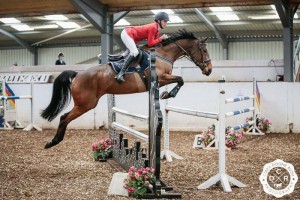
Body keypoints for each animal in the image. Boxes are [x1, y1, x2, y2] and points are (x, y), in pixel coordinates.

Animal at [41, 29, 212, 148]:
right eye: (204, 50)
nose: (209, 70)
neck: (163, 54)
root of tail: (77, 74)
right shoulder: (161, 78)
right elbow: (181, 80)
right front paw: (168, 94)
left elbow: (179, 80)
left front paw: (166, 94)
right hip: (85, 104)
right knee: (64, 117)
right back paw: (53, 141)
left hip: (86, 104)